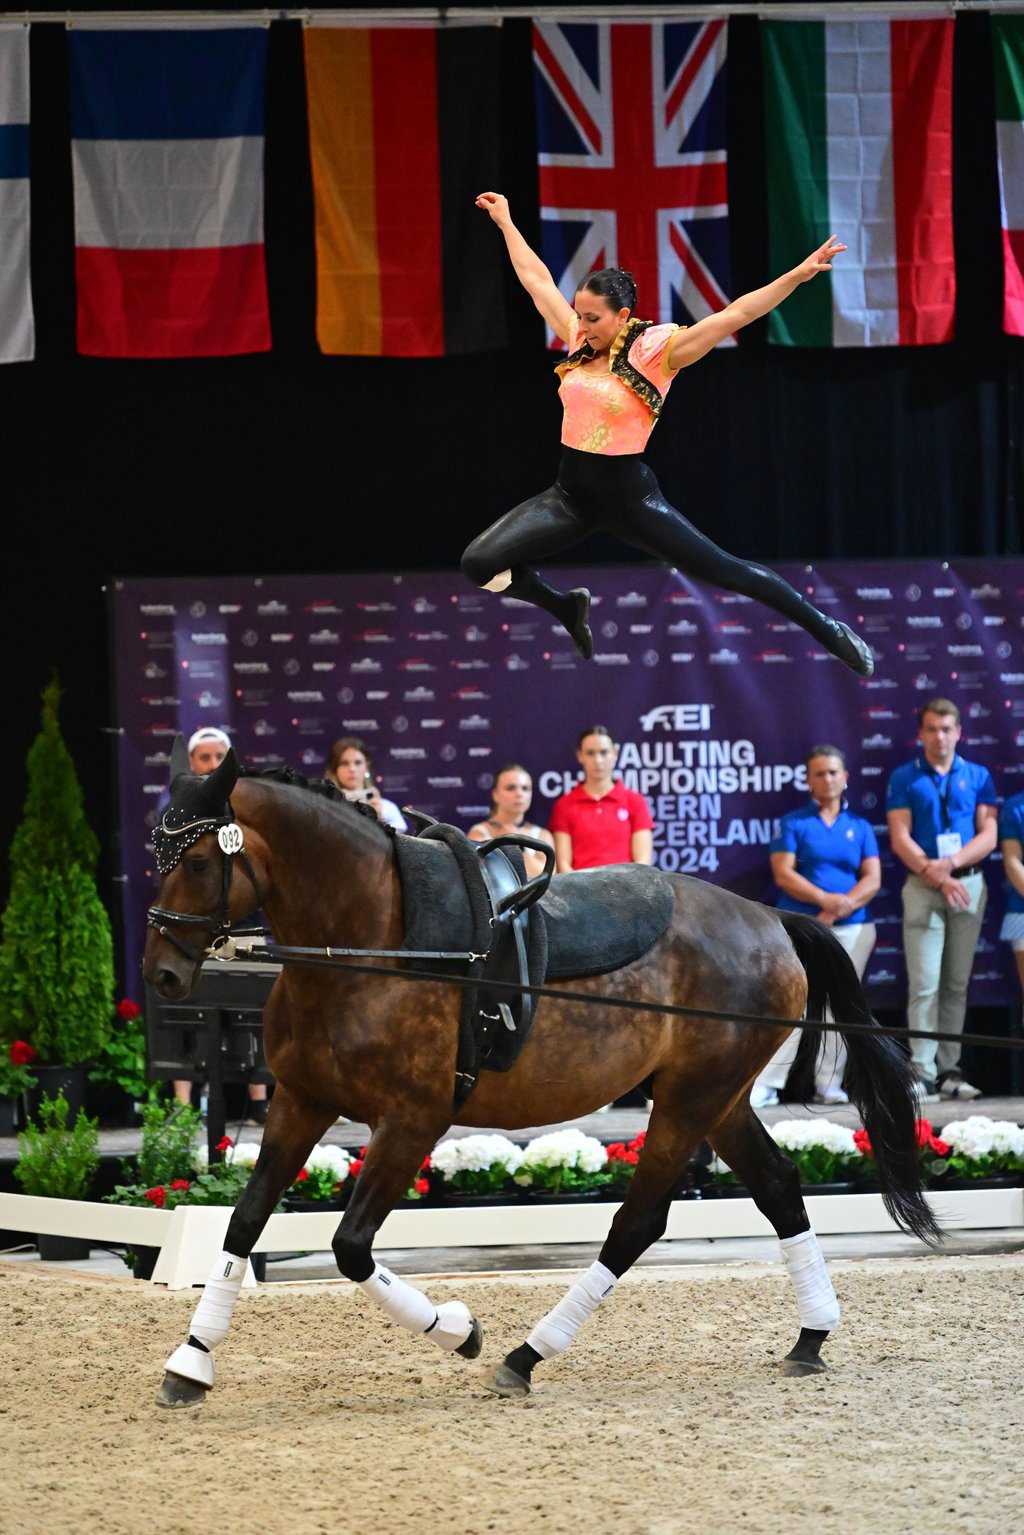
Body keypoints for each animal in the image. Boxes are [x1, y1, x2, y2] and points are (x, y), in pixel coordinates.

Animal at [142, 749, 939, 1406]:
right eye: (158, 853)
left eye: (199, 861)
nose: (162, 974)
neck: (373, 943)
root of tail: (770, 918)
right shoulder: (301, 1102)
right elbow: (244, 1219)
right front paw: (192, 1360)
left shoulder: (412, 1121)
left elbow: (351, 1246)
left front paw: (459, 1329)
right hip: (720, 1098)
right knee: (776, 1185)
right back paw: (812, 1336)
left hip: (690, 1100)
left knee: (638, 1222)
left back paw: (526, 1355)